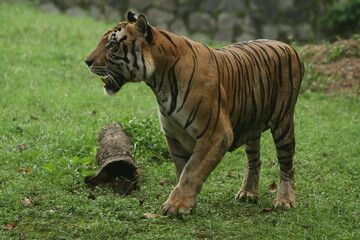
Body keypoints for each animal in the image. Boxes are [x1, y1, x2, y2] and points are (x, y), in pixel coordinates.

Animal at [85, 10, 304, 216]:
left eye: (112, 45)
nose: (87, 61)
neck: (158, 81)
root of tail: (288, 45)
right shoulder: (174, 135)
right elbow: (182, 170)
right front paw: (188, 204)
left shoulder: (216, 133)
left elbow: (192, 170)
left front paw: (175, 206)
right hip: (251, 124)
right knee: (254, 159)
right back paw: (248, 193)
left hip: (283, 122)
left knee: (287, 164)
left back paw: (284, 201)